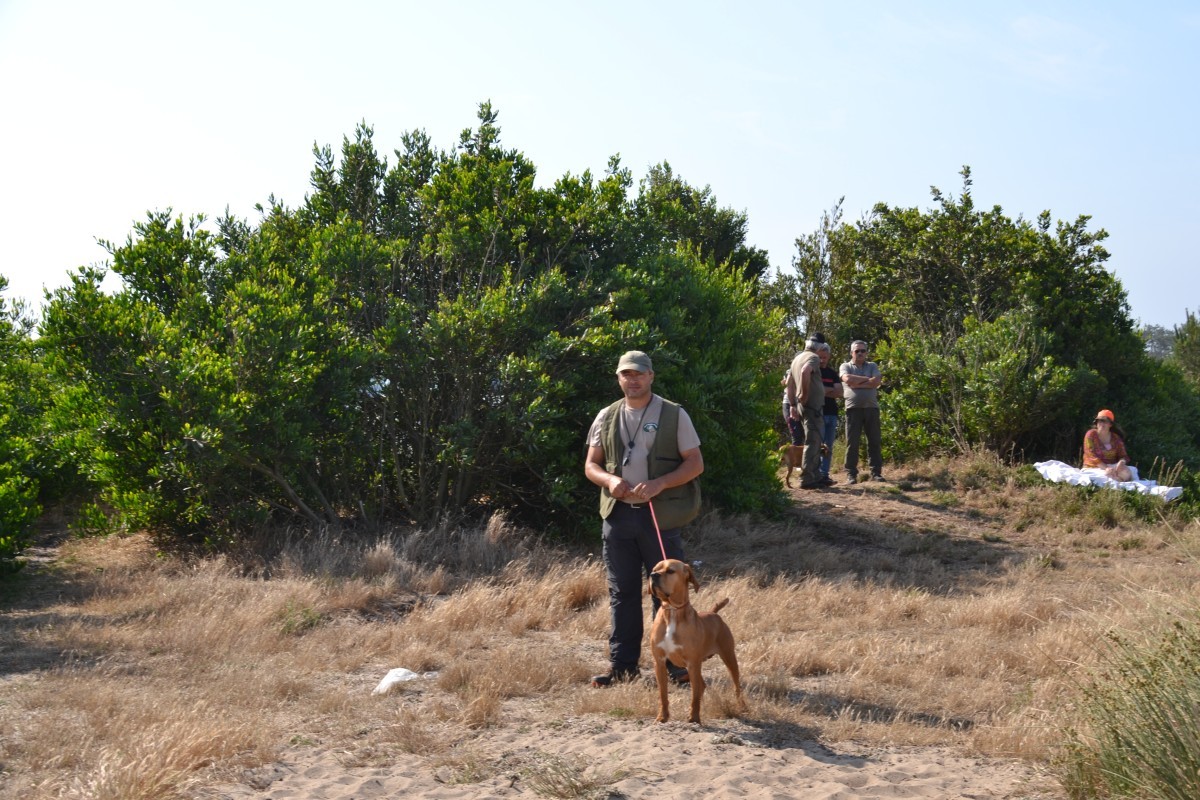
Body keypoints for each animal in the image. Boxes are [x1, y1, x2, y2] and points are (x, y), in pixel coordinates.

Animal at [648, 559, 744, 724]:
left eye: (670, 571)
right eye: (654, 569)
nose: (653, 575)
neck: (672, 611)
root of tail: (714, 613)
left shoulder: (693, 662)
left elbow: (694, 695)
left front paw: (694, 717)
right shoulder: (659, 662)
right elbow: (663, 694)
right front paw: (662, 716)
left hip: (728, 657)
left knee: (736, 685)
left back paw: (742, 706)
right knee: (702, 686)